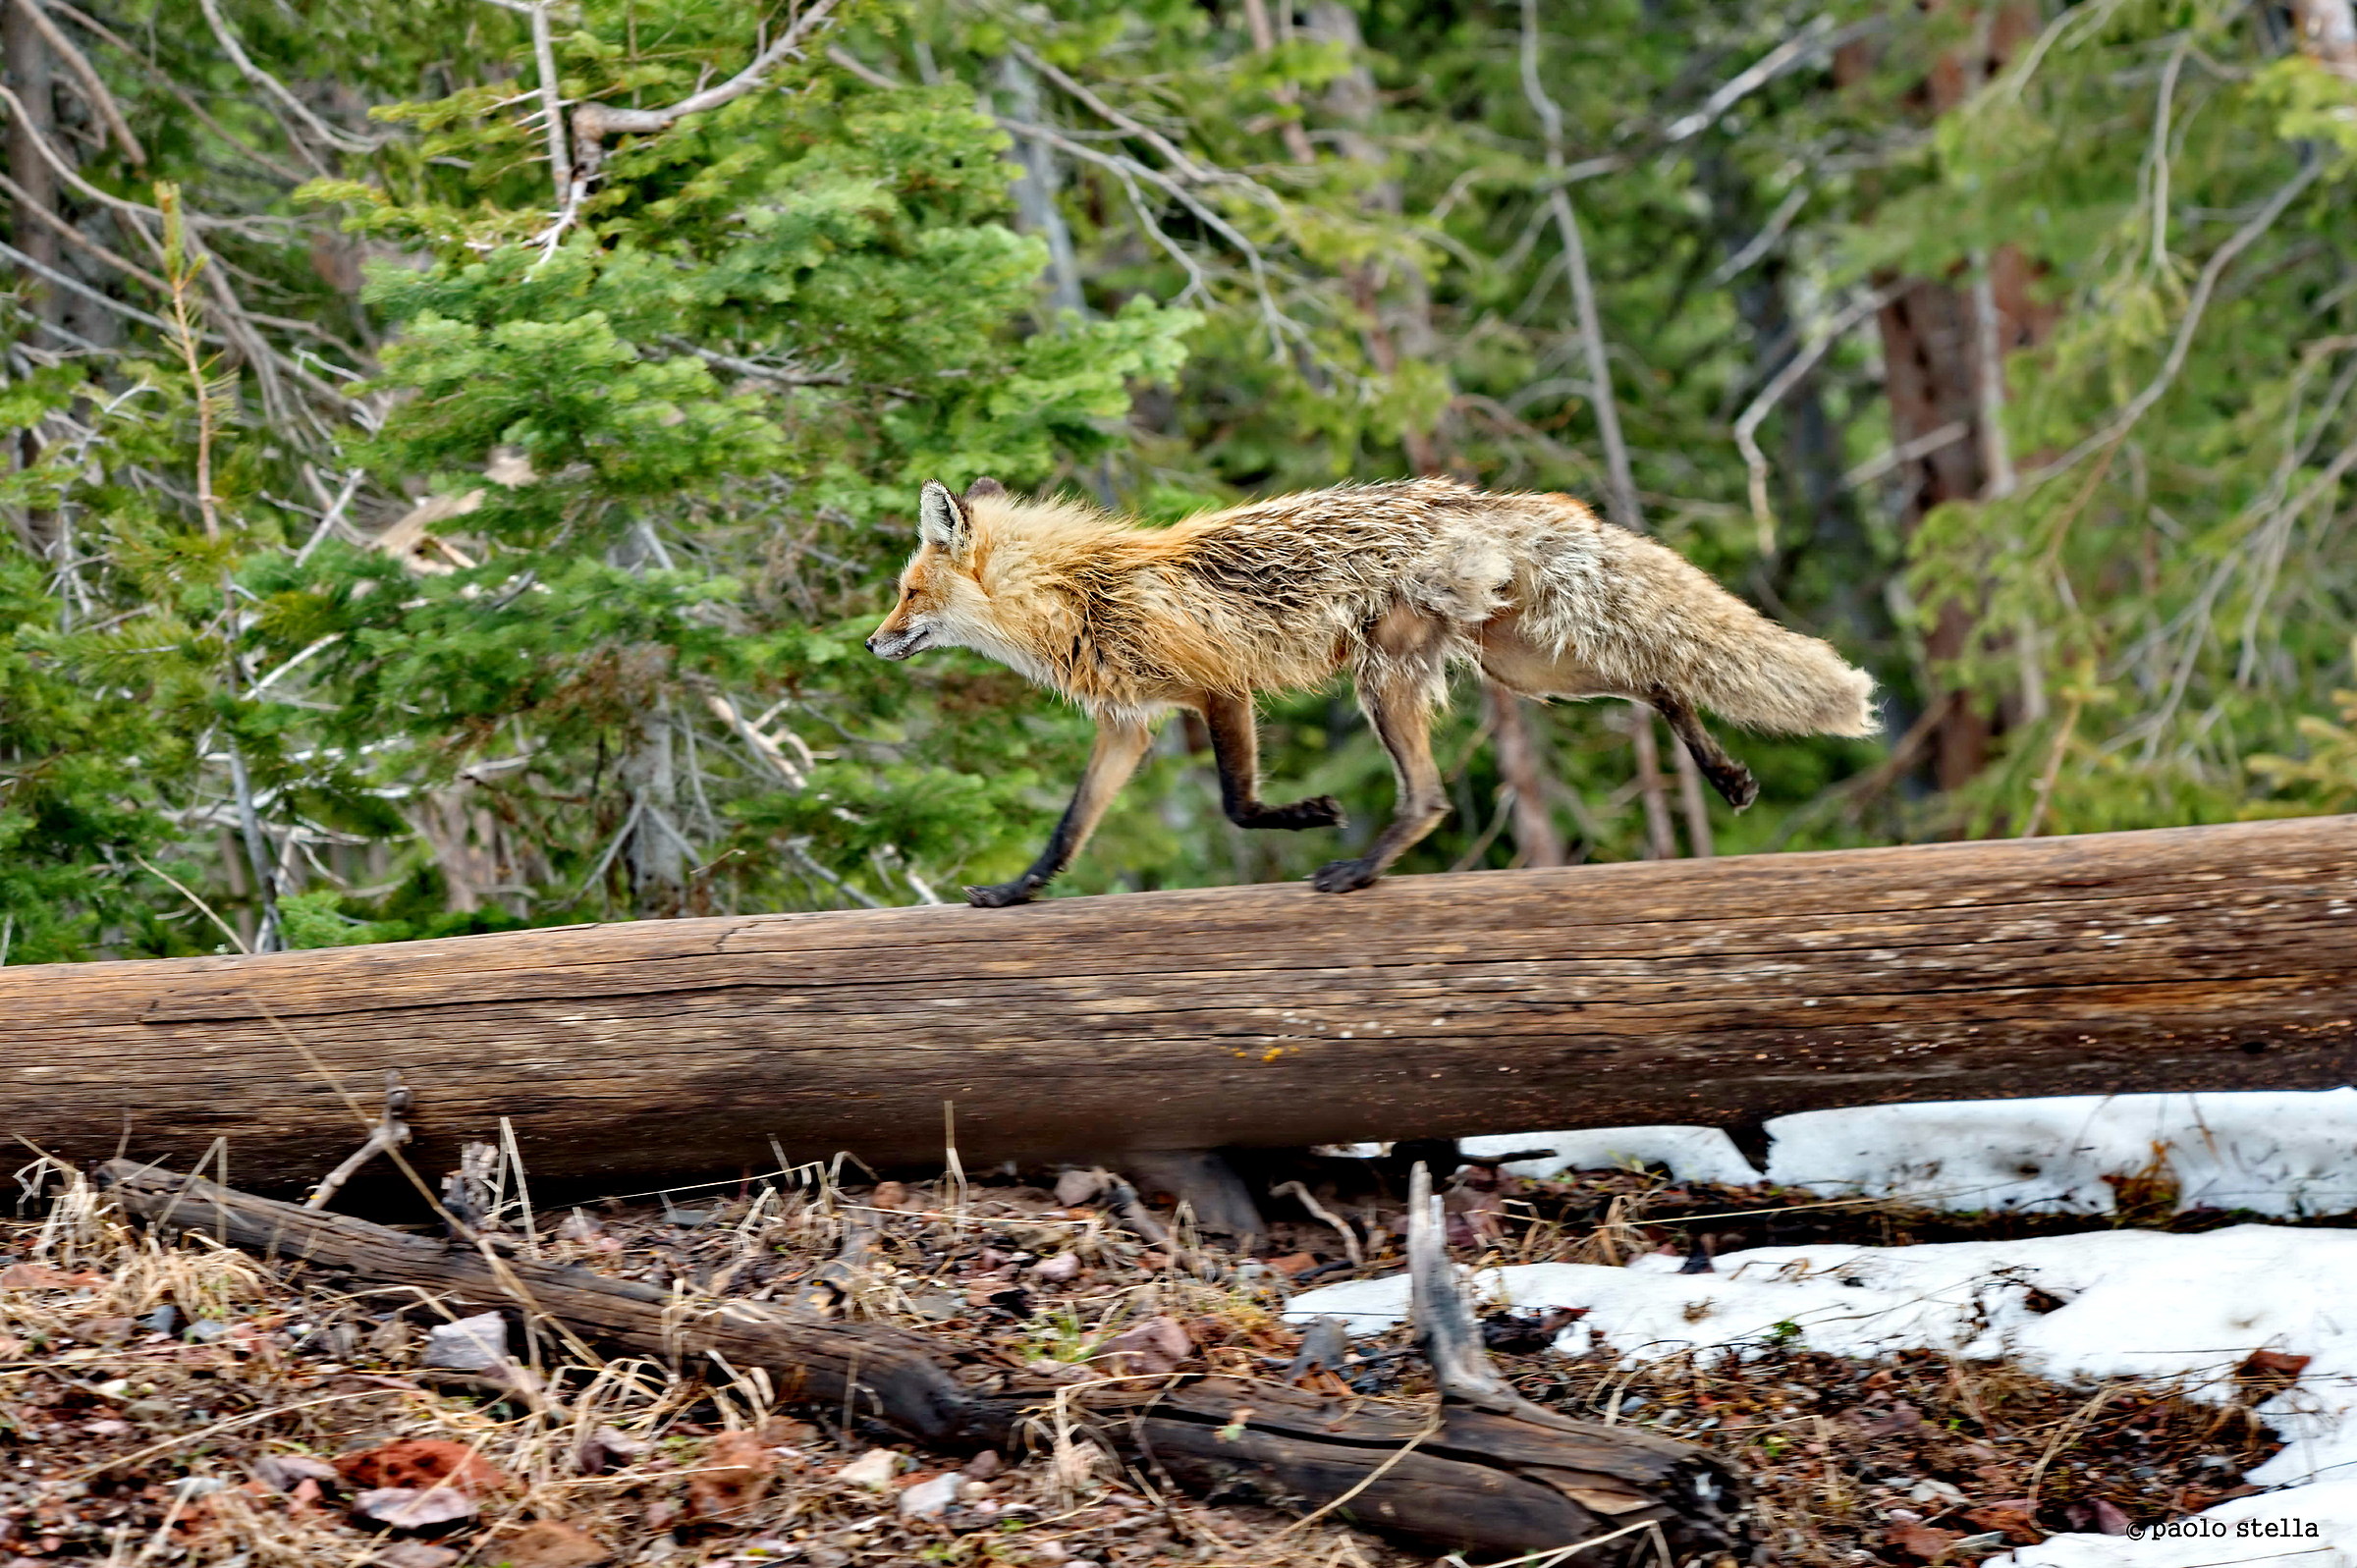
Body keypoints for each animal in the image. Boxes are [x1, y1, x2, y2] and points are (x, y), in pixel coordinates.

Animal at [866, 476, 1876, 908]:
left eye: (908, 592)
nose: (872, 642)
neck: (1078, 592)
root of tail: (1485, 498)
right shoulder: (1130, 726)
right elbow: (1067, 831)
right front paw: (1014, 893)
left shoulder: (1217, 691)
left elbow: (1236, 804)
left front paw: (1308, 814)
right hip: (1526, 669)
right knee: (1659, 678)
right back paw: (1727, 775)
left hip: (1386, 677)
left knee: (1429, 797)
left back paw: (1358, 868)